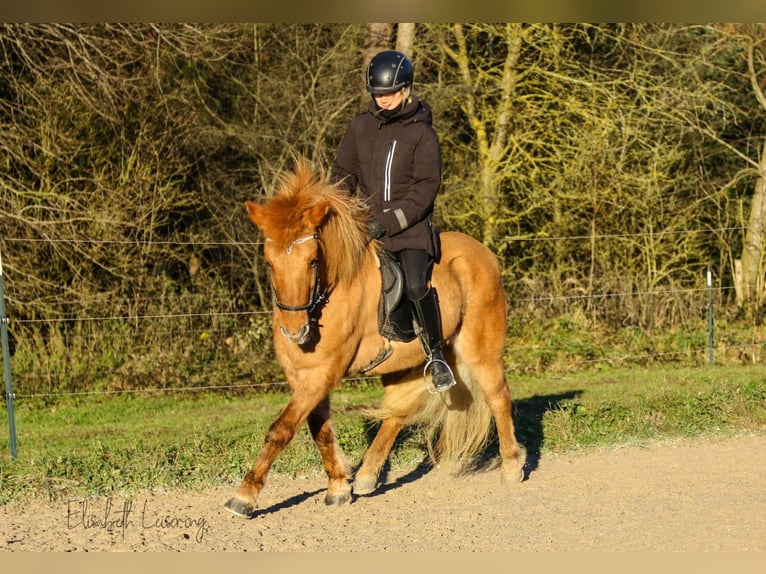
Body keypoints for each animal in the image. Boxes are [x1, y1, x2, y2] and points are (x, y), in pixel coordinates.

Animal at [225, 160, 528, 520]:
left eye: (312, 260)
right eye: (269, 262)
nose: (295, 331)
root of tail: (485, 255)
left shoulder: (322, 373)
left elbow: (281, 430)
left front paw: (244, 496)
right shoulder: (305, 376)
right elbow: (319, 429)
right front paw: (339, 487)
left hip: (480, 350)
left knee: (498, 397)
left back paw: (512, 466)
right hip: (405, 362)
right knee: (397, 412)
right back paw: (368, 475)